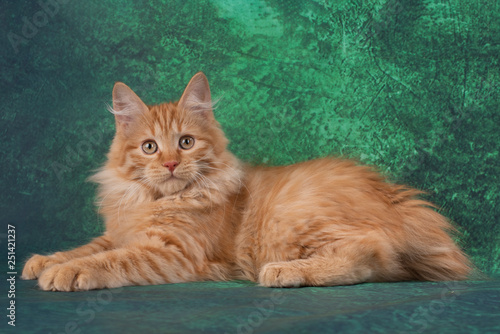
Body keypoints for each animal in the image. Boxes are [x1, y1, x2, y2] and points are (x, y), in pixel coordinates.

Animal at [20, 72, 472, 290]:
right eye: (149, 147)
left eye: (185, 143)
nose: (170, 164)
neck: (155, 200)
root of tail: (395, 197)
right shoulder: (119, 232)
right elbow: (88, 247)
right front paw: (44, 261)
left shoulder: (171, 253)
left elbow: (108, 260)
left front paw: (66, 273)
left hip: (291, 219)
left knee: (373, 256)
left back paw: (284, 271)